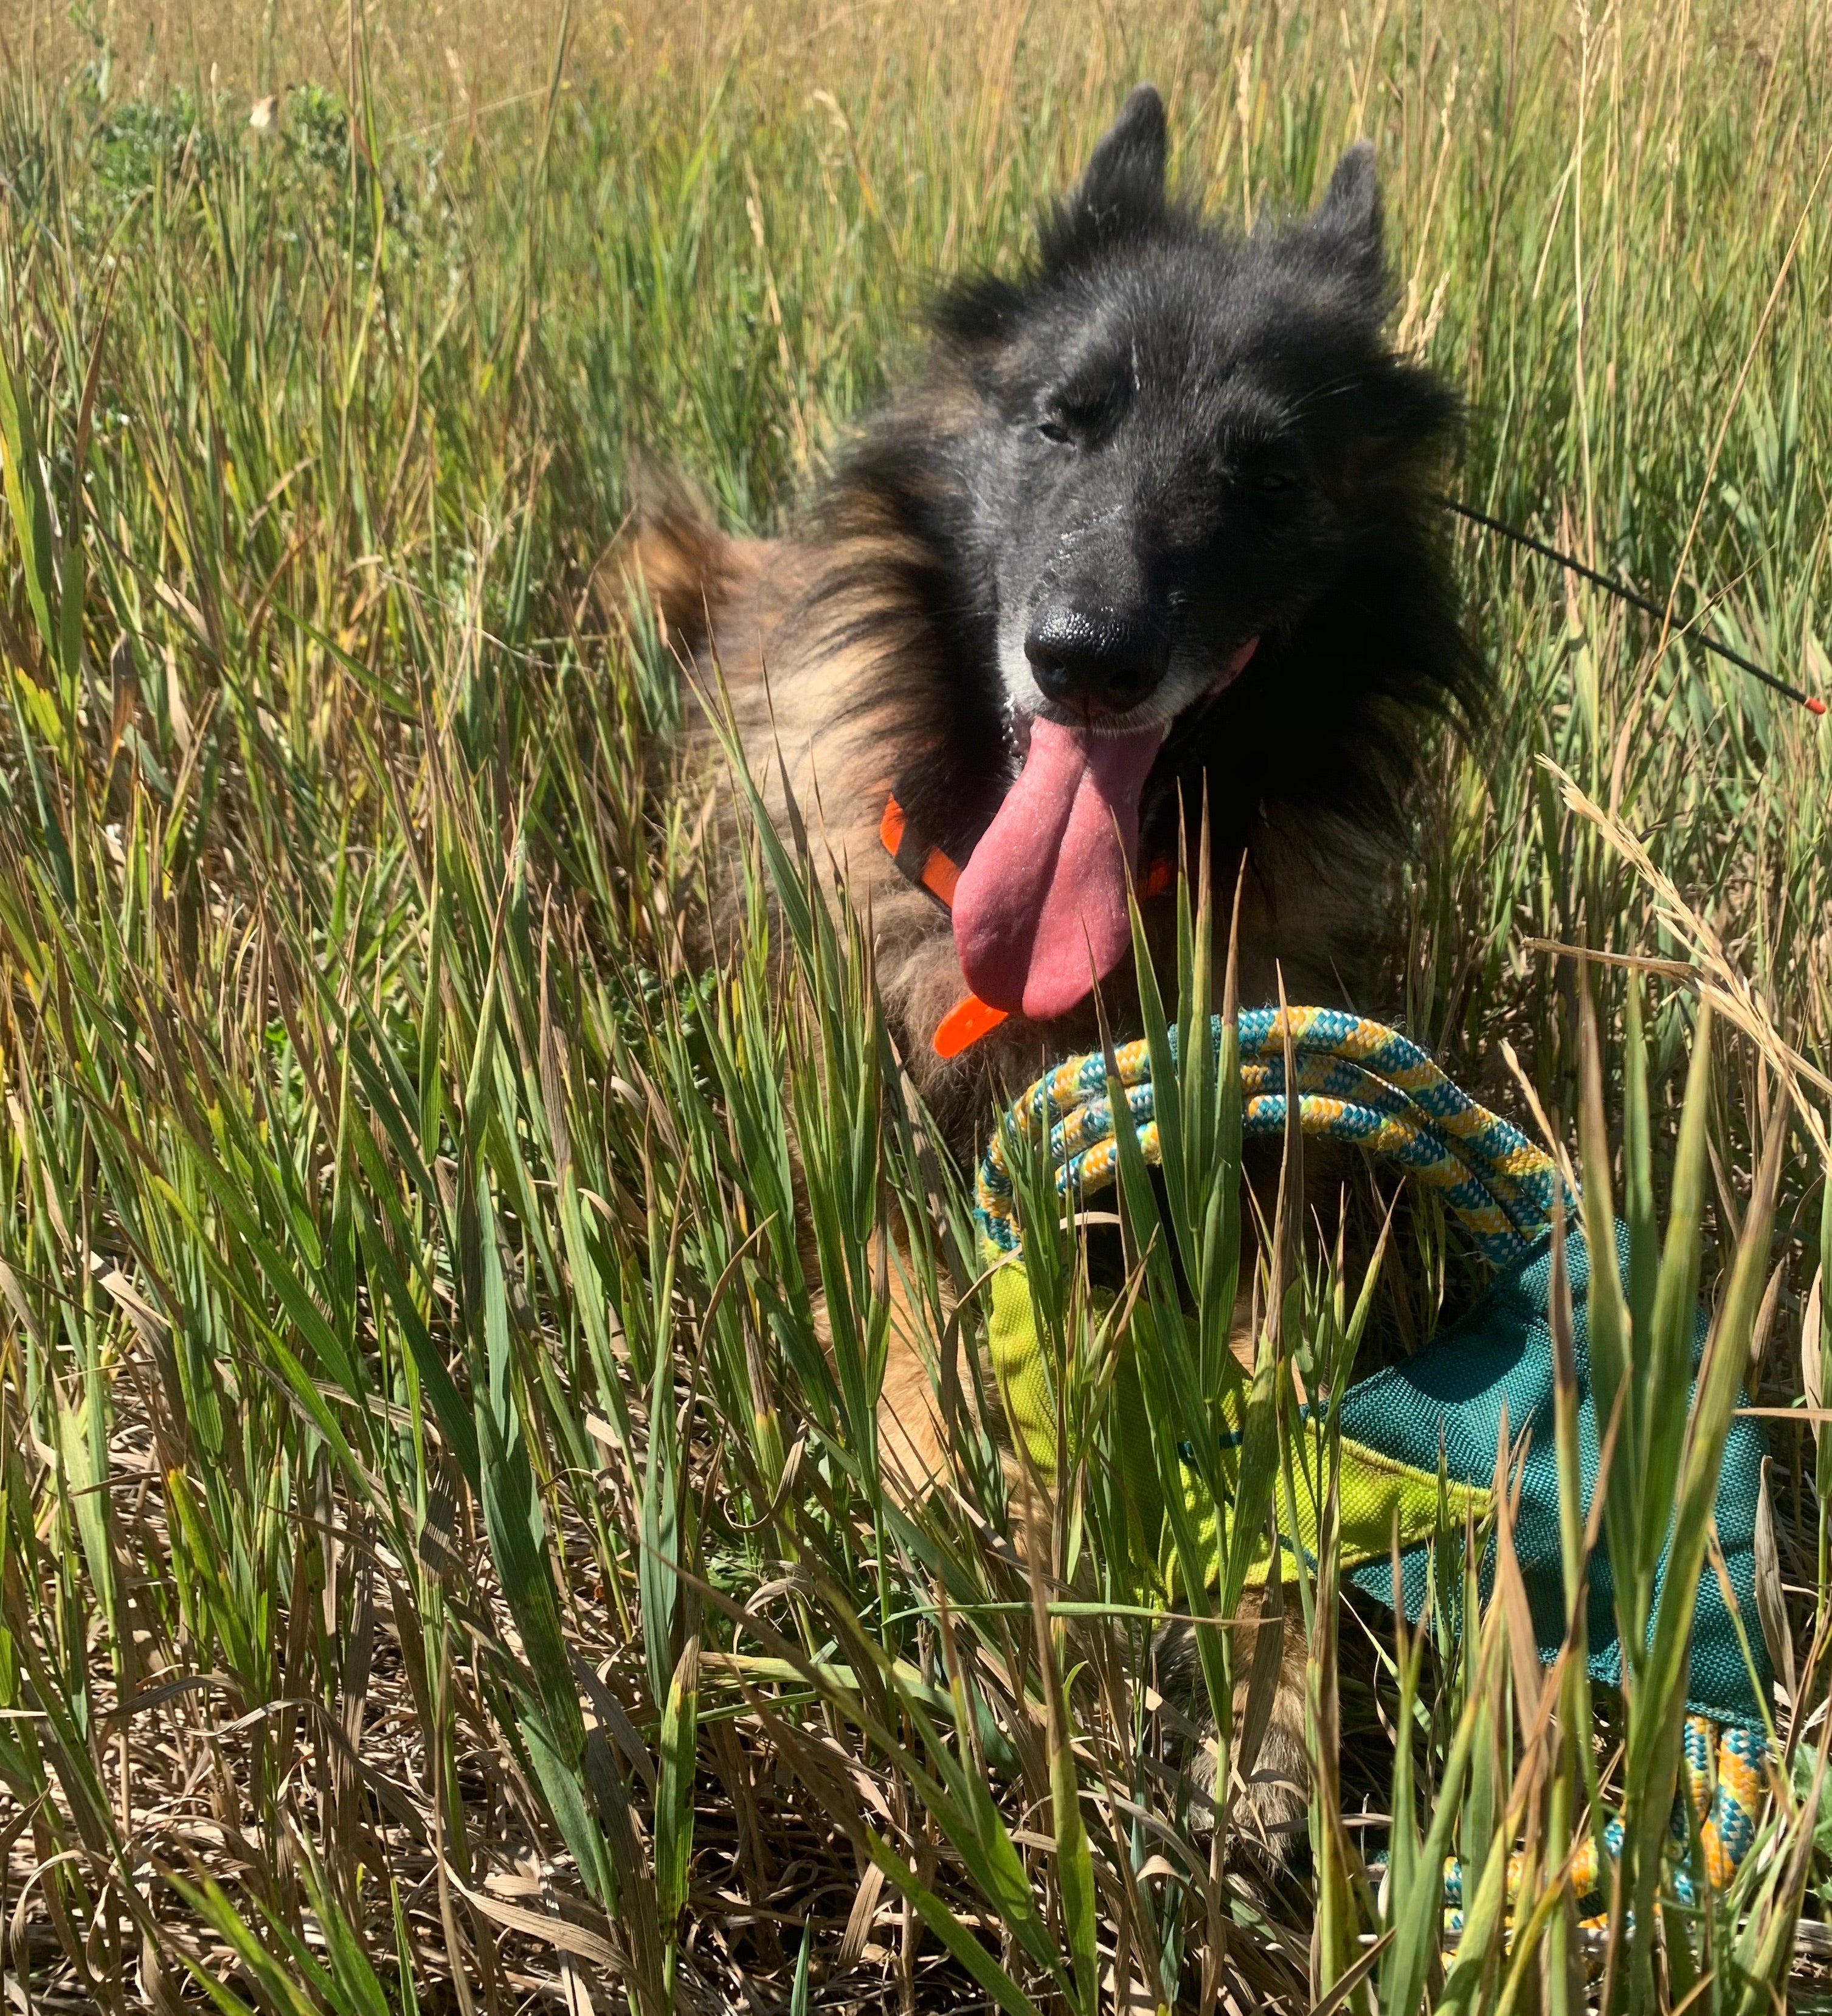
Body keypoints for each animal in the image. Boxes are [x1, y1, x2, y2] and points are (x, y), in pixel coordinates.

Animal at [620, 86, 1483, 1854]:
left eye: (1265, 473)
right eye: (1060, 422)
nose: (1084, 659)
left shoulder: (1259, 1173)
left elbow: (1275, 1425)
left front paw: (1258, 1699)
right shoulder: (870, 1172)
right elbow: (952, 1385)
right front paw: (1041, 1614)